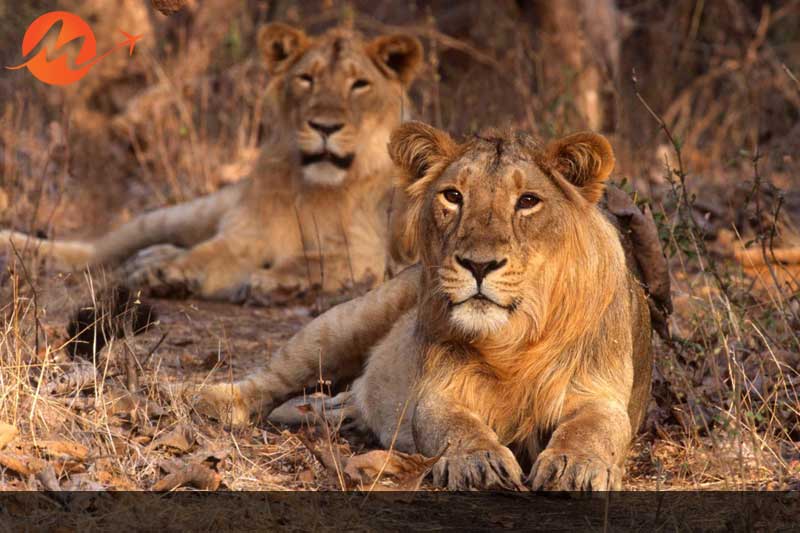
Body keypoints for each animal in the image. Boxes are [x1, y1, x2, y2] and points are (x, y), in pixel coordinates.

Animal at [1, 23, 423, 301]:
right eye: (306, 78)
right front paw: (168, 273)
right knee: (98, 250)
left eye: (359, 84)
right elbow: (211, 252)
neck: (316, 188)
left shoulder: (370, 252)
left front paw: (273, 280)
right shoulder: (246, 234)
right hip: (182, 214)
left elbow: (316, 259)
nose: (325, 126)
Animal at [198, 121, 655, 491]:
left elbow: (593, 429)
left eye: (527, 201)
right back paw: (207, 399)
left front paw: (575, 466)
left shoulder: (600, 393)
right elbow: (453, 425)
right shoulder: (438, 390)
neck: (515, 340)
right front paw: (478, 460)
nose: (478, 264)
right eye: (453, 196)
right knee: (272, 377)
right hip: (346, 322)